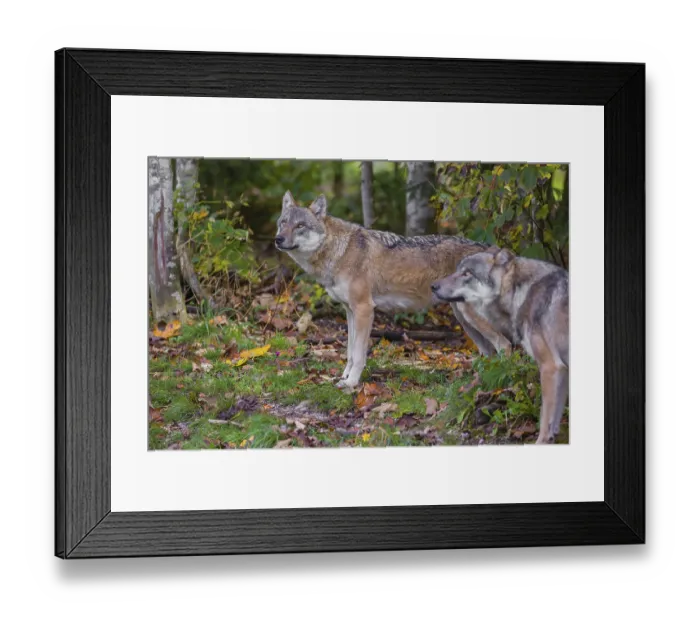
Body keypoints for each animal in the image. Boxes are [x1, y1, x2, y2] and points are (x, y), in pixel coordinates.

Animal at [275, 191, 511, 389]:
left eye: (300, 226)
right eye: (283, 223)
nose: (278, 239)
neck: (338, 251)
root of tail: (492, 251)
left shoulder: (364, 309)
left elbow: (358, 355)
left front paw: (351, 383)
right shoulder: (350, 311)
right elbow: (349, 352)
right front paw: (343, 378)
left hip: (471, 318)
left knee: (505, 346)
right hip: (464, 319)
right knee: (489, 351)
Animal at [431, 247, 569, 444]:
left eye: (467, 273)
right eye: (457, 270)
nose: (433, 286)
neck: (520, 292)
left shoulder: (551, 367)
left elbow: (544, 420)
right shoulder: (563, 369)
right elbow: (553, 422)